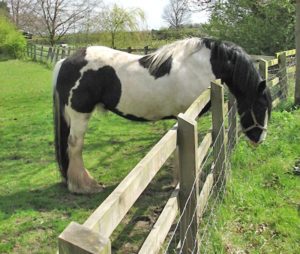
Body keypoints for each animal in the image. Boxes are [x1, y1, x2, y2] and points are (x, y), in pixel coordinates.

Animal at [52, 37, 274, 192]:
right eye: (260, 106)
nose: (259, 139)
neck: (202, 65)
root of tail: (65, 61)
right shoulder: (186, 114)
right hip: (80, 115)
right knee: (75, 145)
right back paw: (84, 185)